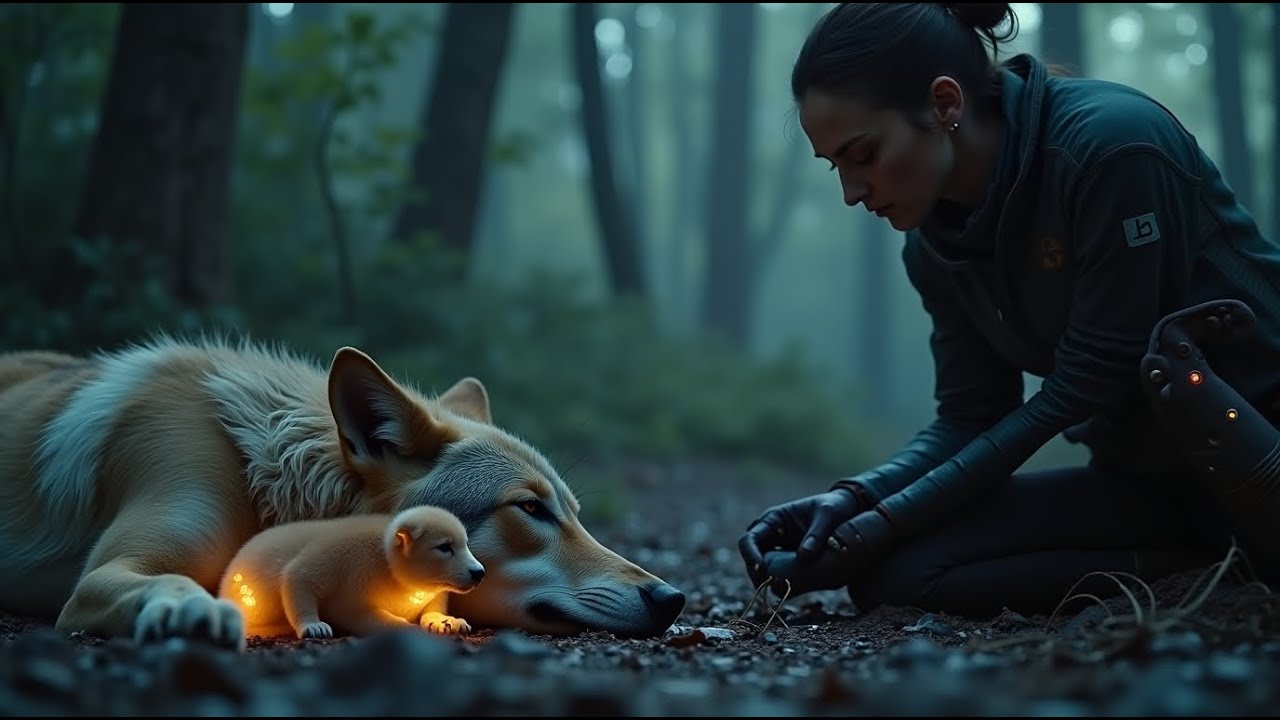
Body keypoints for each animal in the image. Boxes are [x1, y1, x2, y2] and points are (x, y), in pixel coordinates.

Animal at [0, 336, 685, 649]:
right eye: (531, 509)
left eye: (574, 514)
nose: (673, 598)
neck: (261, 474)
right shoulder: (103, 576)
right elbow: (172, 581)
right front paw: (193, 609)